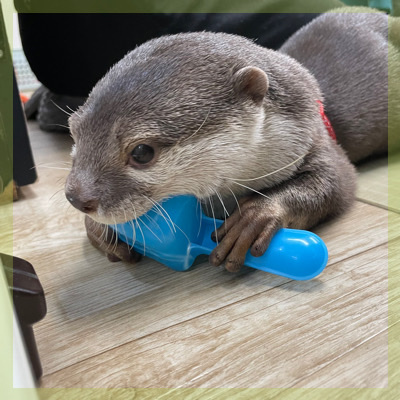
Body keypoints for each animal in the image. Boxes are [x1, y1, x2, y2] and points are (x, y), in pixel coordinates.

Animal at [65, 13, 388, 276]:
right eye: (74, 132)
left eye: (142, 152)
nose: (76, 197)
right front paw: (97, 230)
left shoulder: (316, 142)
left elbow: (338, 184)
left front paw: (256, 216)